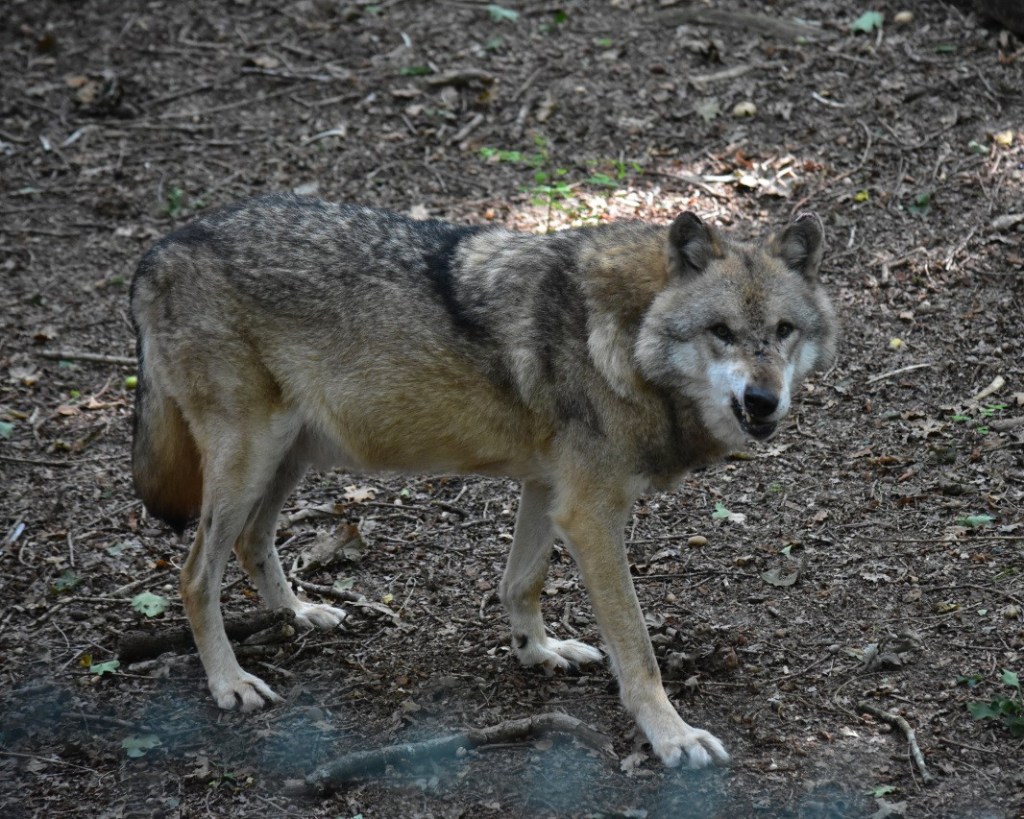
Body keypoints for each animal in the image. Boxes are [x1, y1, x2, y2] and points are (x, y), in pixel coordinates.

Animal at [130, 194, 836, 768]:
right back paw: (230, 683)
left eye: (783, 331)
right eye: (721, 332)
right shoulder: (592, 513)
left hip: (290, 457)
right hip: (251, 461)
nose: (764, 399)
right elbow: (638, 650)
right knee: (195, 575)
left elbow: (521, 583)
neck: (627, 337)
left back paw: (300, 614)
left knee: (252, 543)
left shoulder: (550, 491)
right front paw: (673, 738)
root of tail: (159, 249)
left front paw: (537, 651)